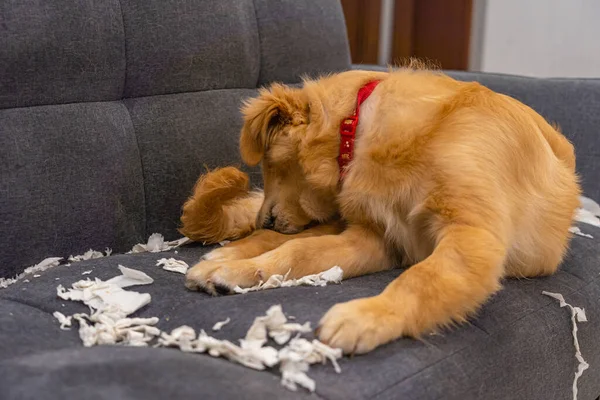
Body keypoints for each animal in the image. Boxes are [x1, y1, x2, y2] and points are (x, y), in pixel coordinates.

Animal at [186, 64, 580, 354]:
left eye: (270, 163)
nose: (264, 221)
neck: (359, 127)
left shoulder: (472, 236)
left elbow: (420, 278)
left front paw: (367, 316)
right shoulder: (378, 237)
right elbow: (300, 250)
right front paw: (240, 270)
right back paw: (226, 258)